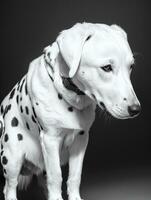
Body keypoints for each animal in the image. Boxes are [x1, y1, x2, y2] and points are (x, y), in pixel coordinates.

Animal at [0, 22, 141, 200]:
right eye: (107, 68)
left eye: (131, 66)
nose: (136, 109)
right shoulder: (50, 140)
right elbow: (56, 176)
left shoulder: (81, 140)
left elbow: (74, 176)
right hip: (12, 158)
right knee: (10, 186)